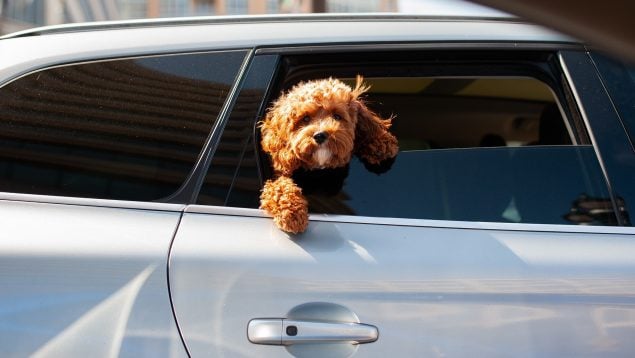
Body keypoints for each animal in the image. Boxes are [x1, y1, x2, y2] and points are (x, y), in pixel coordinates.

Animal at [258, 75, 398, 234]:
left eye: (337, 116)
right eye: (305, 118)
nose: (320, 135)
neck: (320, 169)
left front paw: (381, 142)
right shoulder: (278, 176)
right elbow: (278, 188)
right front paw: (292, 213)